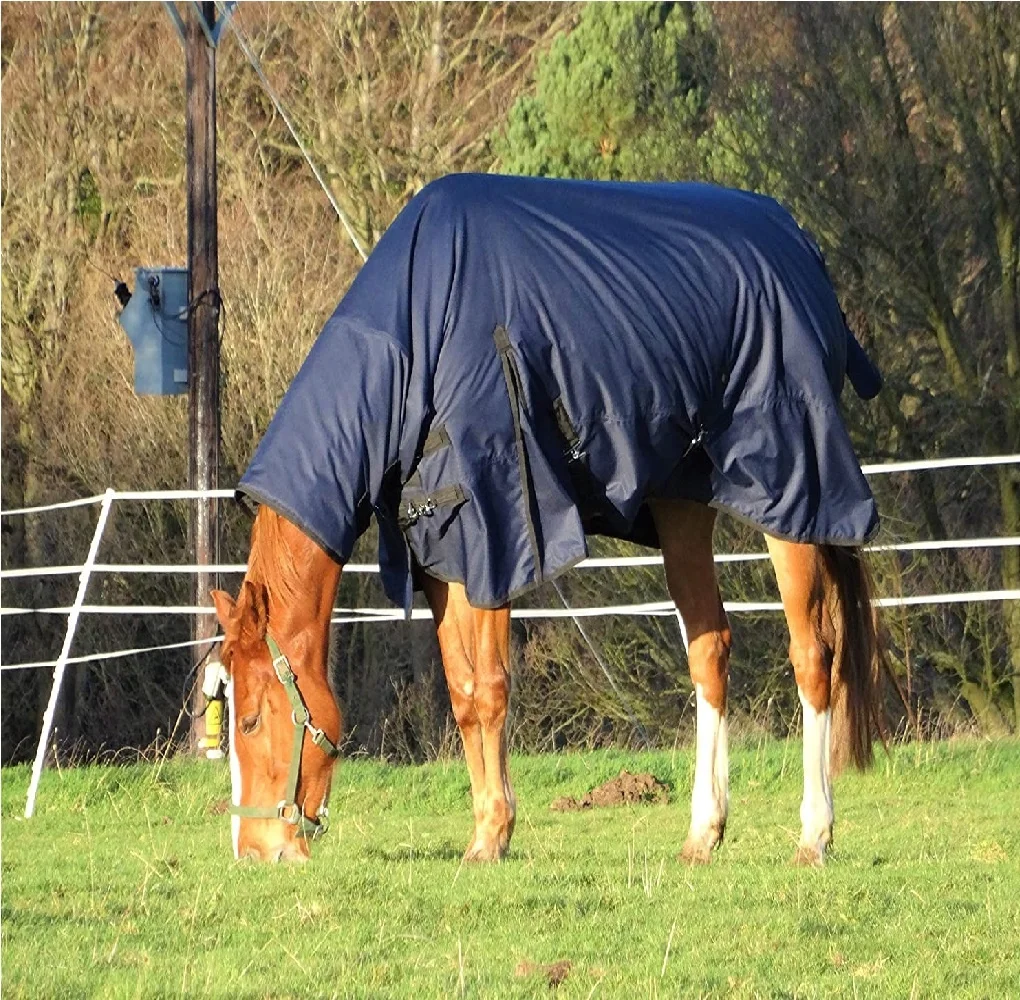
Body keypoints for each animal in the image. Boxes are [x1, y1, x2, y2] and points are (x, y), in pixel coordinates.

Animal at [211, 175, 886, 865]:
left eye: (252, 719)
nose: (254, 851)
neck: (420, 335)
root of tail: (801, 250)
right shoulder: (441, 550)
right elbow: (462, 692)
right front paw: (485, 828)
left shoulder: (496, 536)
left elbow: (490, 688)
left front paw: (494, 837)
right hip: (682, 504)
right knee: (709, 652)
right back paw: (704, 833)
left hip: (793, 494)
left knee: (813, 653)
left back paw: (814, 834)